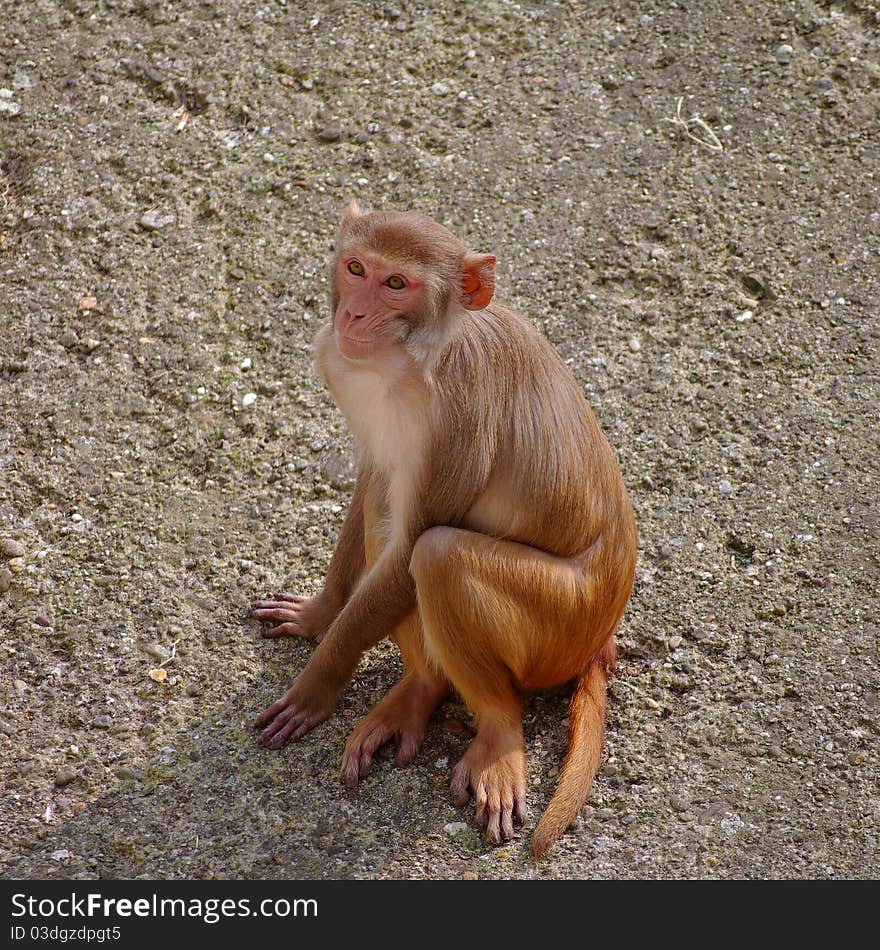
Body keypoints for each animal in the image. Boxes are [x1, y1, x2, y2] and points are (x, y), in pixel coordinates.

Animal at [251, 203, 636, 864]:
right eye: (357, 268)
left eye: (396, 284)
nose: (352, 315)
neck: (414, 358)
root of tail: (599, 644)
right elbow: (374, 475)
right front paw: (320, 615)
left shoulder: (460, 412)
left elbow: (414, 545)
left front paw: (314, 688)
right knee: (388, 507)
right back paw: (420, 692)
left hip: (560, 626)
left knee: (437, 556)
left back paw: (499, 735)